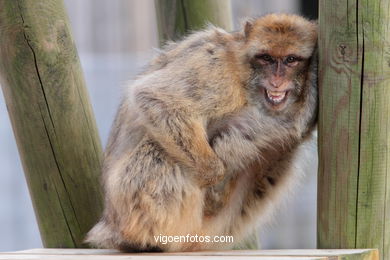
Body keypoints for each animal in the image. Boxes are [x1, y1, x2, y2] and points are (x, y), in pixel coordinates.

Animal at [85, 13, 316, 252]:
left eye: (291, 60)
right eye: (266, 58)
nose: (276, 80)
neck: (244, 78)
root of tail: (109, 225)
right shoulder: (216, 71)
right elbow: (155, 98)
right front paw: (213, 180)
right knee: (158, 149)